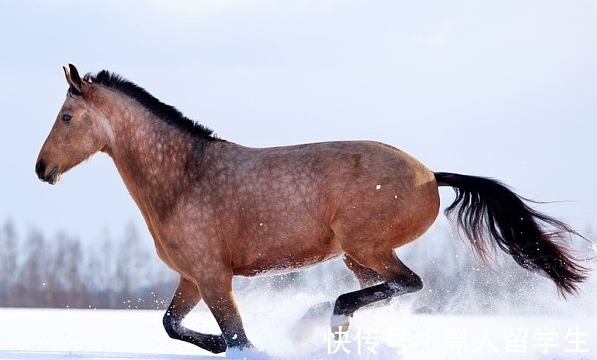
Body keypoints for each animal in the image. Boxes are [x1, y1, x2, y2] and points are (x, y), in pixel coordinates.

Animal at [33, 64, 588, 354]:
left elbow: (236, 336)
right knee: (379, 290)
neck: (183, 178)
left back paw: (317, 317)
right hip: (357, 256)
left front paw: (248, 346)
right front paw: (220, 345)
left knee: (406, 285)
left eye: (66, 117)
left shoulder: (214, 277)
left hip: (368, 245)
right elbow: (172, 325)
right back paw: (329, 326)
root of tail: (432, 174)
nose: (41, 170)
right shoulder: (191, 277)